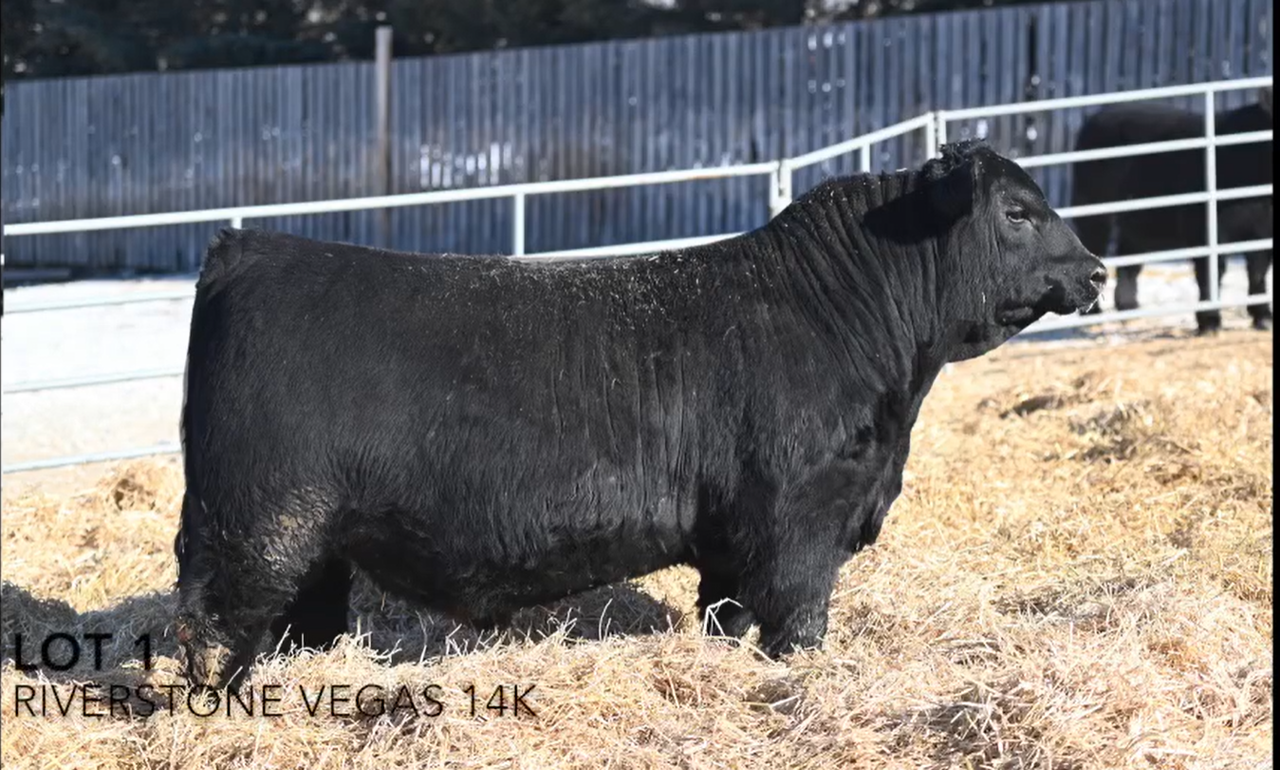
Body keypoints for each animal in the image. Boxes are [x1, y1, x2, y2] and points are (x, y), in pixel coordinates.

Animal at [173, 140, 1106, 692]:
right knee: (213, 624)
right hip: (252, 526)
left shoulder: (733, 540)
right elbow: (798, 620)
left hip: (310, 543)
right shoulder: (801, 522)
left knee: (303, 623)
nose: (1095, 271)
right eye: (1017, 211)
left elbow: (728, 613)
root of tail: (244, 247)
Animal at [1070, 87, 1273, 333]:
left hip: (1137, 219)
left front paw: (1263, 317)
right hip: (1092, 210)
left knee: (1129, 258)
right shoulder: (1202, 228)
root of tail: (1097, 116)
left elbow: (1258, 272)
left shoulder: (1263, 232)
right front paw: (1209, 323)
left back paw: (1129, 308)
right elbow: (1211, 273)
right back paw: (1095, 315)